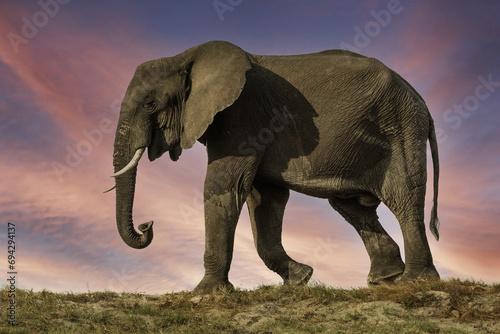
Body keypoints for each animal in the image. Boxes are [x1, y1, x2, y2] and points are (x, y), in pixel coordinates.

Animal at [108, 40, 438, 290]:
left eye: (150, 104)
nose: (147, 224)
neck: (184, 57)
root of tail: (421, 101)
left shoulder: (243, 113)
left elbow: (224, 186)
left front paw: (205, 292)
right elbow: (264, 197)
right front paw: (301, 279)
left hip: (401, 127)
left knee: (404, 197)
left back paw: (414, 282)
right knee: (352, 207)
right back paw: (385, 280)